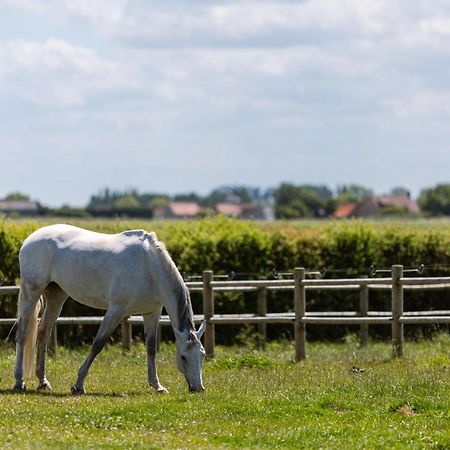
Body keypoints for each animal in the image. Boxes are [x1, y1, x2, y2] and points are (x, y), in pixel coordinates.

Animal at [12, 225, 206, 394]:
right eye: (183, 357)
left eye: (202, 355)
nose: (198, 388)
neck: (148, 266)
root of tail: (30, 238)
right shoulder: (115, 311)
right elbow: (98, 344)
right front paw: (78, 385)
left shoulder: (152, 312)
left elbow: (151, 348)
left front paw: (157, 386)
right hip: (31, 293)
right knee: (23, 334)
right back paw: (19, 381)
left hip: (56, 297)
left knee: (43, 333)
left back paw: (43, 382)